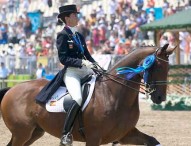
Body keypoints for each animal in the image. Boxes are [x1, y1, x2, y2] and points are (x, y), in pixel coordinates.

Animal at [0, 44, 176, 145]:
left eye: (167, 68)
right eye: (158, 66)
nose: (160, 98)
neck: (113, 94)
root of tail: (11, 89)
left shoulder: (125, 135)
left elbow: (153, 141)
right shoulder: (94, 138)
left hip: (34, 132)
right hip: (22, 133)